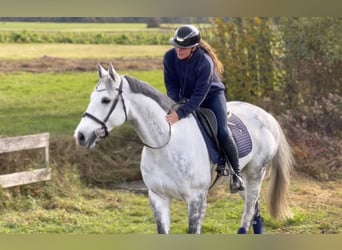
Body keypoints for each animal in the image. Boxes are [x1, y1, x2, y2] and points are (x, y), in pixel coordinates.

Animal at [74, 63, 294, 234]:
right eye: (92, 98)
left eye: (105, 100)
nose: (81, 136)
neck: (166, 145)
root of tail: (267, 116)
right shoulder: (158, 198)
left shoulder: (196, 200)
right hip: (244, 181)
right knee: (255, 211)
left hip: (256, 173)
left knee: (248, 211)